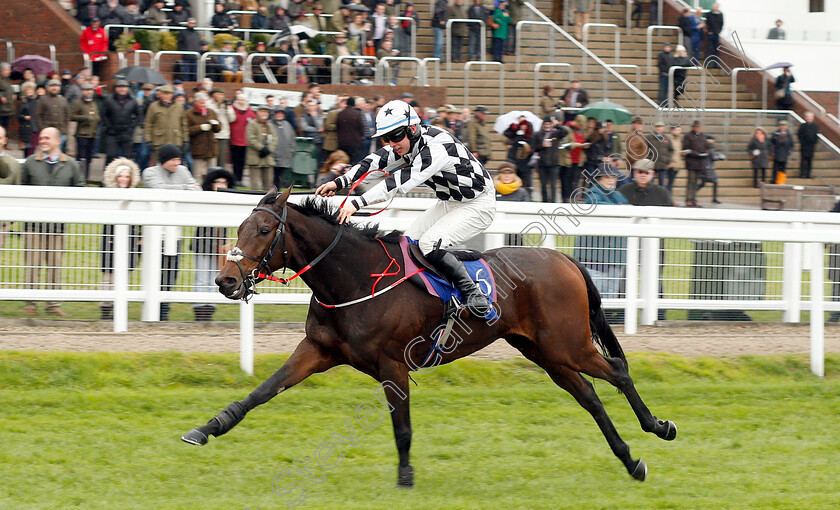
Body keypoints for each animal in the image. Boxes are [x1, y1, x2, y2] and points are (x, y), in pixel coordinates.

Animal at [182, 186, 676, 486]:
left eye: (265, 230)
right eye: (240, 228)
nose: (225, 281)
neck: (354, 279)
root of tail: (566, 260)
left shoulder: (392, 365)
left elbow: (402, 428)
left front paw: (405, 477)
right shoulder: (318, 350)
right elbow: (261, 392)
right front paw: (207, 428)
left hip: (567, 343)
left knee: (618, 371)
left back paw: (659, 426)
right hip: (546, 352)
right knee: (590, 395)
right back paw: (630, 460)